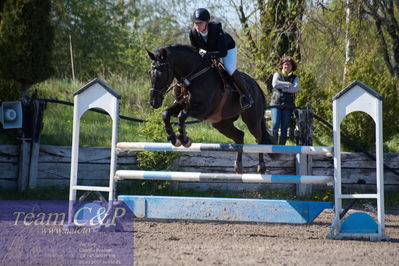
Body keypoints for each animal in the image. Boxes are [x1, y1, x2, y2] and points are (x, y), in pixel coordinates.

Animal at [147, 44, 276, 172]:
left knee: (259, 139)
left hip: (252, 120)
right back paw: (238, 166)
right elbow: (166, 114)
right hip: (222, 123)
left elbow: (182, 115)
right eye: (149, 73)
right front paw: (173, 138)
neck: (192, 76)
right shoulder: (180, 105)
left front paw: (184, 139)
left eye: (162, 73)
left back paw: (261, 167)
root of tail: (256, 85)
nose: (154, 102)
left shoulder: (203, 109)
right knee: (239, 136)